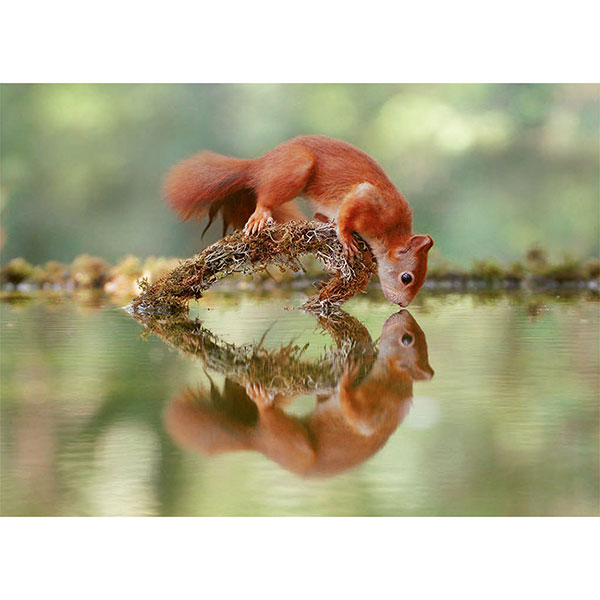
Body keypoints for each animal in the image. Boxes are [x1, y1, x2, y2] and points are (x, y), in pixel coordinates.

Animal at [164, 134, 434, 308]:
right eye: (406, 278)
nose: (403, 305)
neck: (391, 231)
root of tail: (262, 163)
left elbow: (329, 217)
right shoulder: (368, 199)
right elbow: (347, 215)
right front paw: (346, 237)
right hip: (296, 168)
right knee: (266, 197)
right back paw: (261, 214)